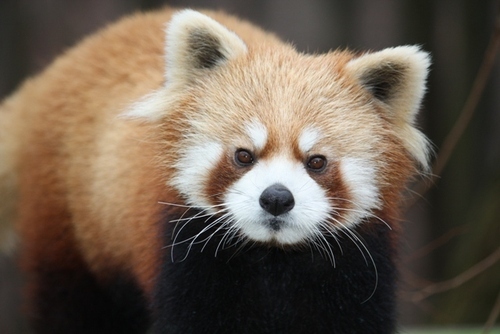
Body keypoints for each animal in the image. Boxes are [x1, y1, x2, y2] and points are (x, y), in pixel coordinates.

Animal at [0, 6, 430, 332]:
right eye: (243, 155)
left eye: (317, 162)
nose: (277, 198)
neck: (273, 258)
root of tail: (58, 70)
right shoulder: (186, 257)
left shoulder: (357, 268)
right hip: (70, 230)